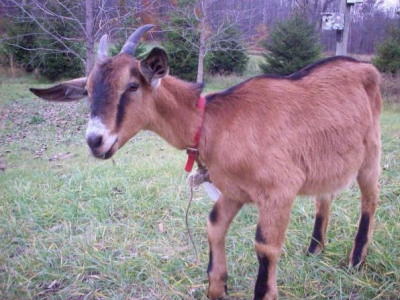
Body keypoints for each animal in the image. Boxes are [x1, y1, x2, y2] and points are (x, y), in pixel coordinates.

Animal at [30, 25, 382, 300]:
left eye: (131, 86)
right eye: (89, 90)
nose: (95, 141)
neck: (211, 122)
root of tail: (367, 69)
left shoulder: (279, 189)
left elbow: (265, 247)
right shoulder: (234, 190)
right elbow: (214, 224)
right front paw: (218, 286)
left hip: (371, 154)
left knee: (370, 200)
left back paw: (356, 261)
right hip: (329, 162)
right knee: (327, 195)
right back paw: (314, 249)